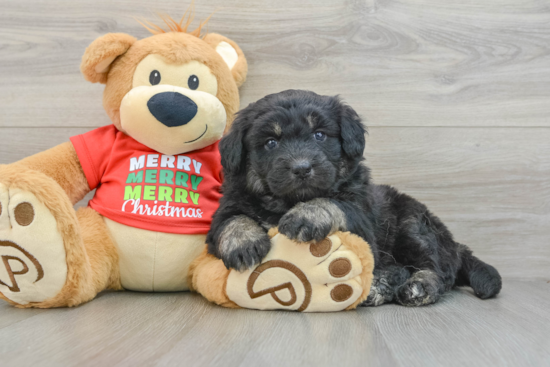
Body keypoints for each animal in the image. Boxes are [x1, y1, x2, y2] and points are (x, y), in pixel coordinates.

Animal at [205, 90, 502, 308]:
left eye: (319, 135)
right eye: (270, 143)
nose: (301, 168)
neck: (287, 201)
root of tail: (454, 244)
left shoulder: (361, 215)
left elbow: (334, 203)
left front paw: (307, 214)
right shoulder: (227, 207)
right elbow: (231, 220)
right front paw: (243, 242)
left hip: (413, 226)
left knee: (436, 271)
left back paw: (418, 287)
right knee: (400, 269)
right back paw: (379, 286)